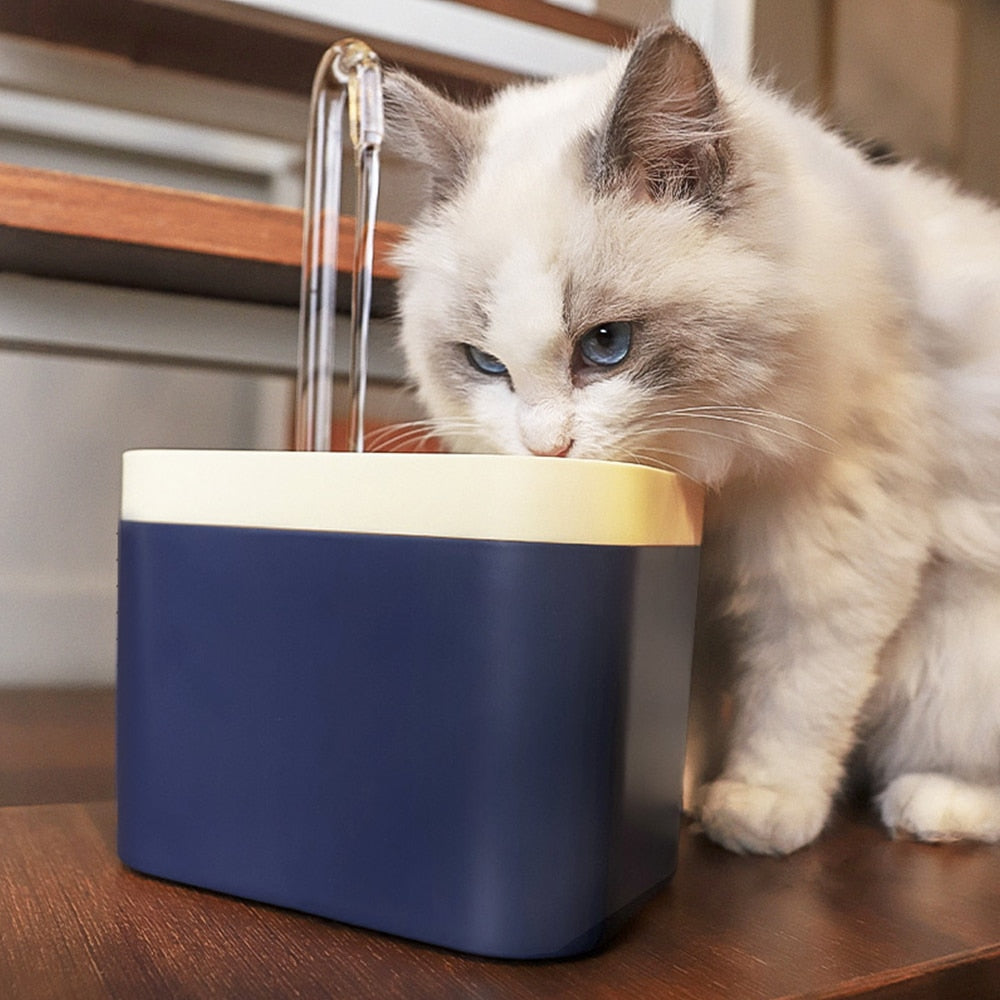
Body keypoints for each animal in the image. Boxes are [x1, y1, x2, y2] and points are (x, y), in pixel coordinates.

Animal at [376, 21, 1000, 852]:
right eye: (486, 364)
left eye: (606, 345)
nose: (547, 450)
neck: (712, 478)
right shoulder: (694, 595)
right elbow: (686, 706)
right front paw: (671, 791)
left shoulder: (831, 547)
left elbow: (800, 692)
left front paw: (759, 806)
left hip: (957, 663)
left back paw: (929, 804)